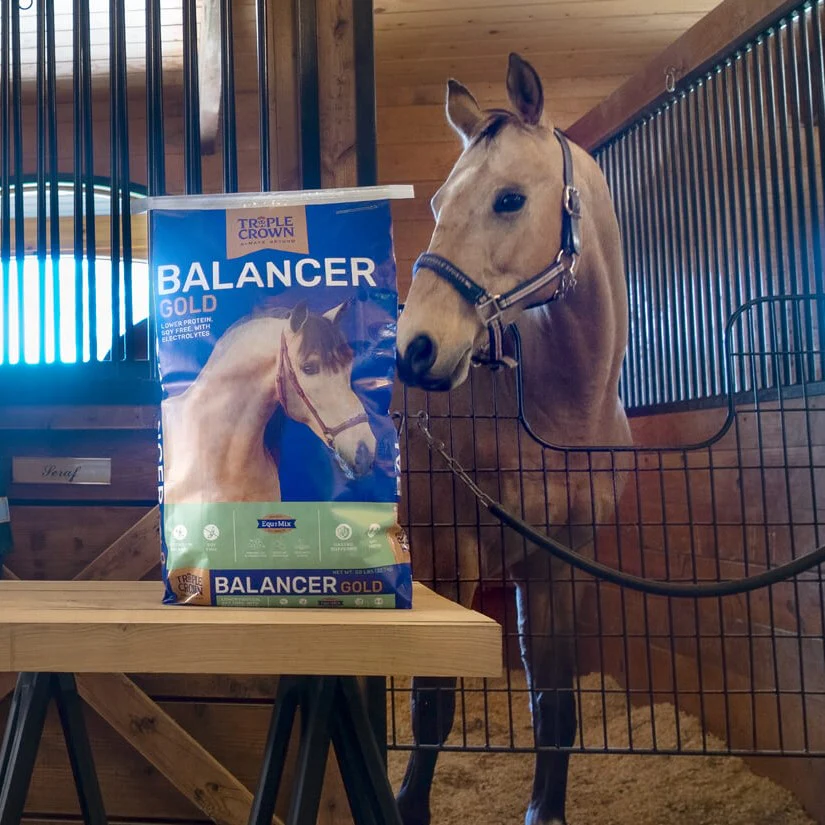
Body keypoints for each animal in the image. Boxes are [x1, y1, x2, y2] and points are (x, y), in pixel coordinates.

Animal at [394, 53, 633, 825]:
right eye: (439, 204)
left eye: (508, 200)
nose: (416, 349)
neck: (556, 415)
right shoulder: (447, 559)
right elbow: (433, 708)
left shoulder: (559, 565)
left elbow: (553, 705)